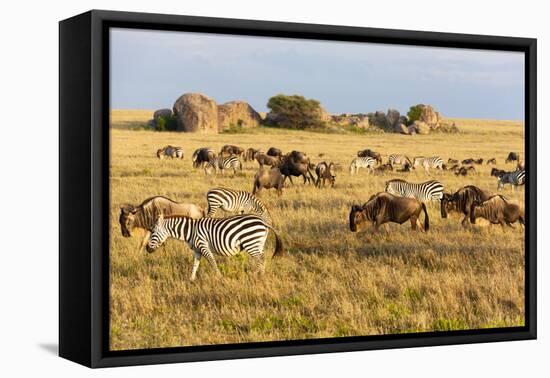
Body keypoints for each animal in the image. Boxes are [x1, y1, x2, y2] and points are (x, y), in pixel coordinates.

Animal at [147, 213, 284, 280]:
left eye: (152, 232)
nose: (147, 249)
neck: (190, 231)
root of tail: (263, 221)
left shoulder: (203, 246)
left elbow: (212, 262)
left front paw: (219, 278)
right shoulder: (197, 250)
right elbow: (195, 265)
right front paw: (191, 279)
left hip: (250, 242)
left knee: (260, 259)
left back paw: (255, 275)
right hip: (258, 243)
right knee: (262, 258)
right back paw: (261, 275)